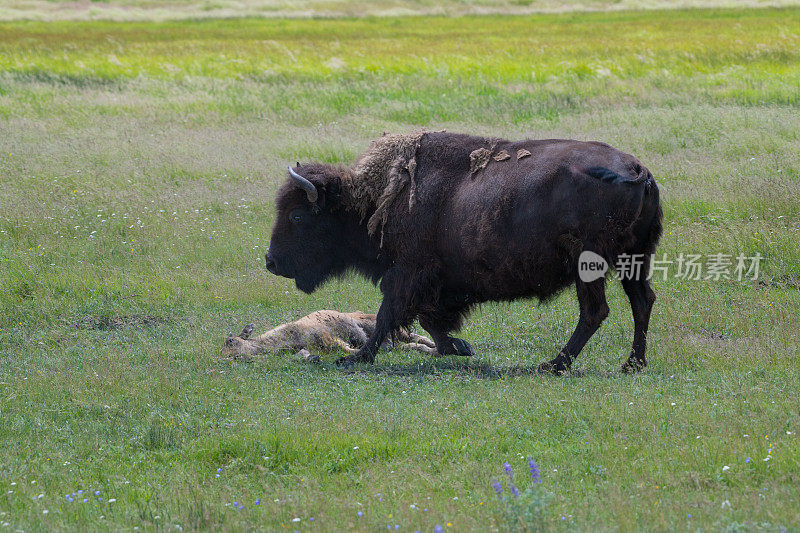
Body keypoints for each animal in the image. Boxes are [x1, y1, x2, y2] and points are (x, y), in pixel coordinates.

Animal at [266, 132, 660, 374]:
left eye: (297, 215)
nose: (271, 261)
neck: (373, 200)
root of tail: (638, 170)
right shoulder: (433, 285)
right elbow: (427, 321)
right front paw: (460, 346)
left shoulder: (407, 273)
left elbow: (387, 315)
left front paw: (357, 359)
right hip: (635, 260)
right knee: (641, 301)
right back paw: (632, 364)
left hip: (588, 266)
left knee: (595, 311)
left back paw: (554, 364)